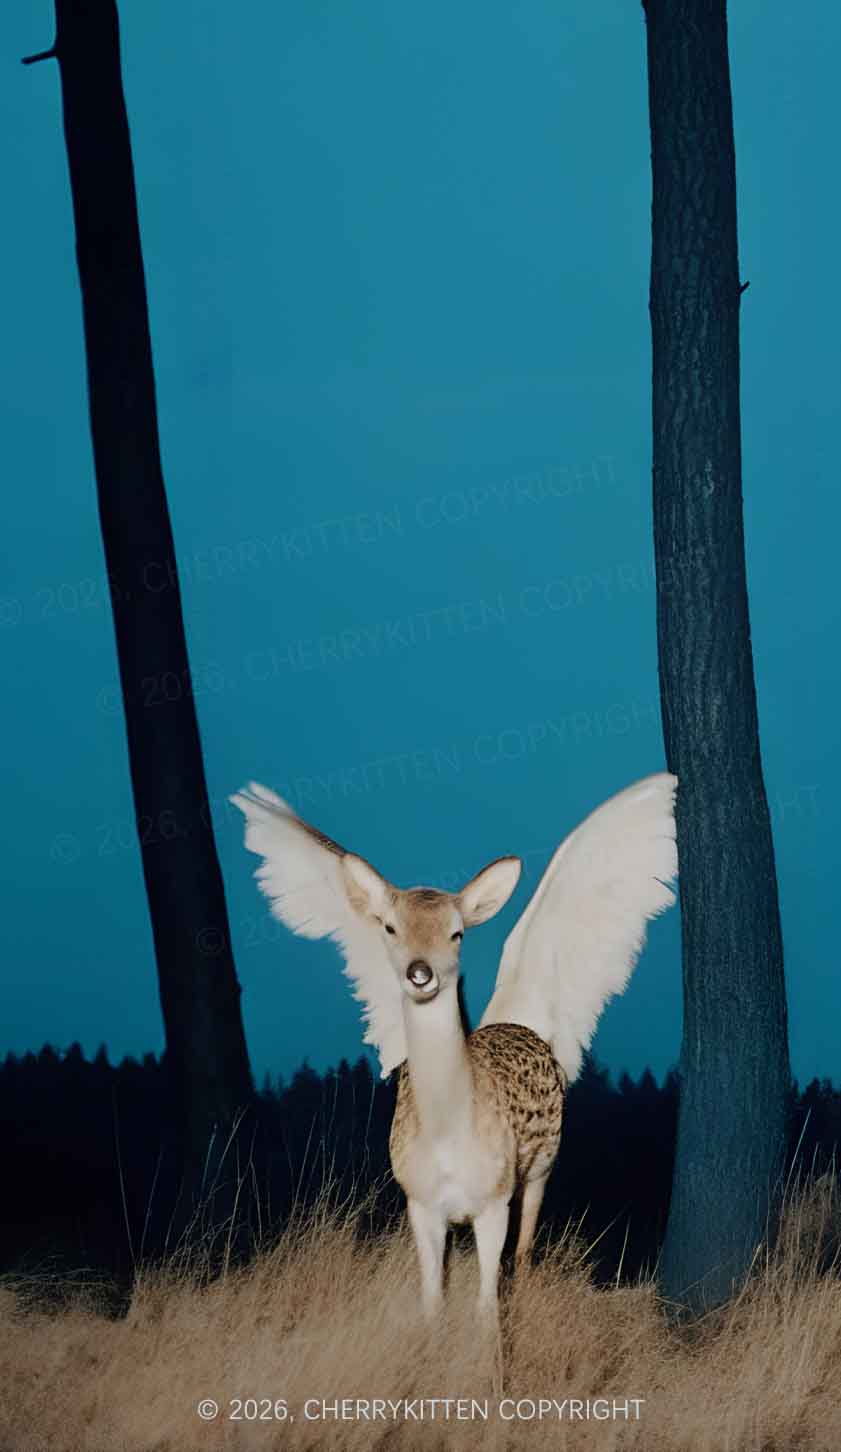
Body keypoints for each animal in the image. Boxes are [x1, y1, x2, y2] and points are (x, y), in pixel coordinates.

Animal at [231, 772, 678, 1323]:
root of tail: (519, 1023)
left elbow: (487, 1307)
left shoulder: (493, 1202)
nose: (419, 972)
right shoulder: (420, 1205)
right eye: (390, 927)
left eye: (457, 933)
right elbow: (433, 1301)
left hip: (541, 1166)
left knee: (524, 1254)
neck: (448, 1136)